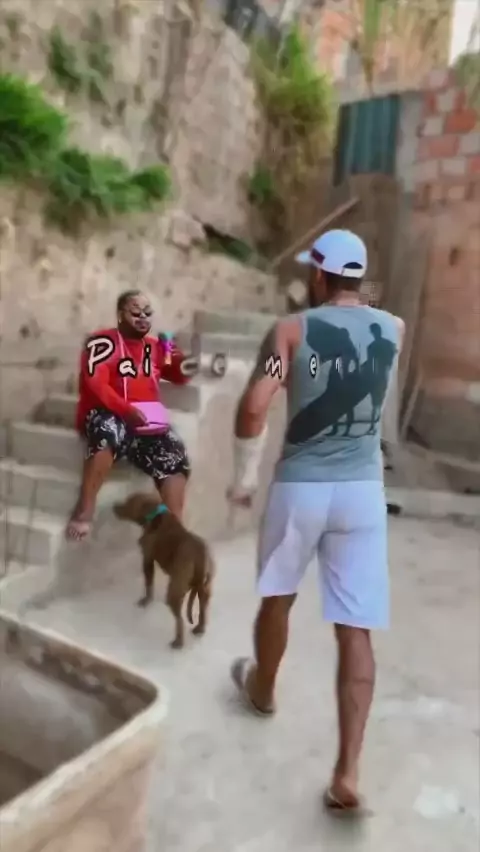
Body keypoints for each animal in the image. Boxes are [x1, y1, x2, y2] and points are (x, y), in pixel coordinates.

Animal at [113, 493, 215, 649]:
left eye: (128, 503)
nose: (114, 506)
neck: (154, 513)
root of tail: (200, 555)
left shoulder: (147, 559)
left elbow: (149, 583)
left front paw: (146, 600)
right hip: (205, 587)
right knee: (203, 608)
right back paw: (200, 628)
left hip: (175, 591)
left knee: (179, 619)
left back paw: (178, 642)